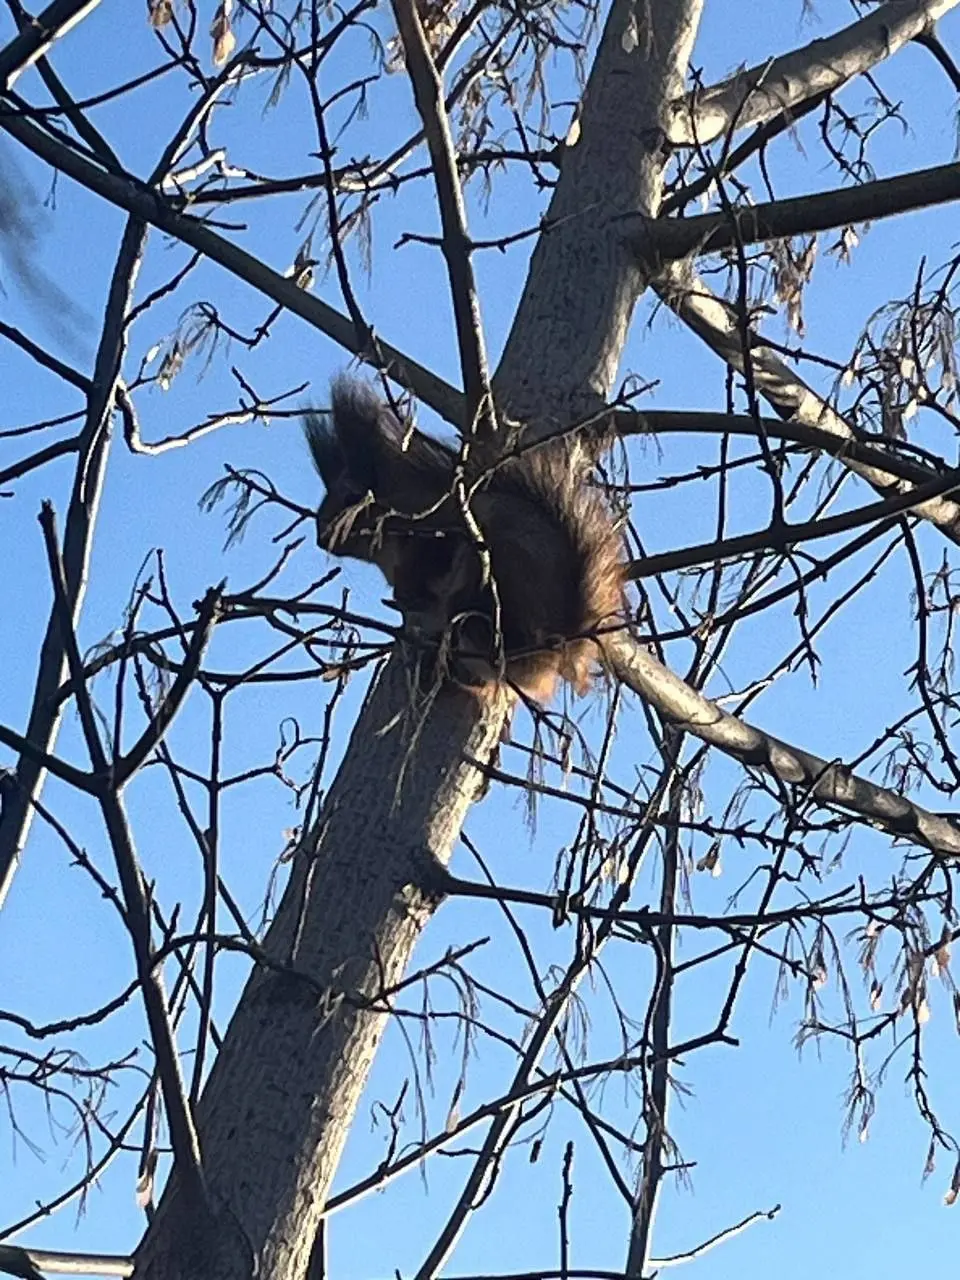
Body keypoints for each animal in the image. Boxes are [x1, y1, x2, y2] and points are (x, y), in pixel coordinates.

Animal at [304, 376, 624, 702]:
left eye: (352, 497)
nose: (322, 539)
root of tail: (552, 653)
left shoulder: (433, 534)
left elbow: (426, 565)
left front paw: (406, 593)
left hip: (496, 578)